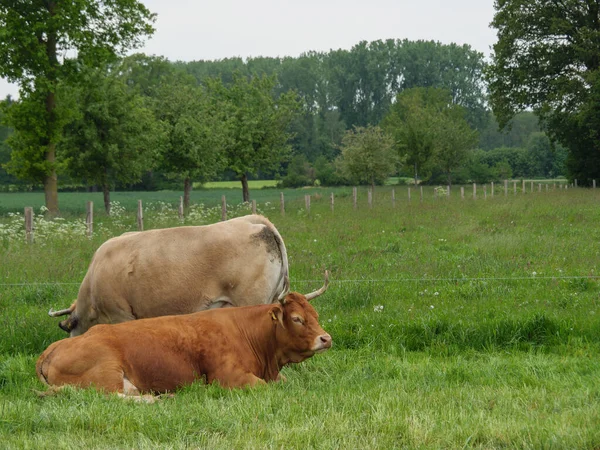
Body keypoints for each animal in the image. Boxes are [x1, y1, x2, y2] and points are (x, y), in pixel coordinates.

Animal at [37, 272, 332, 400]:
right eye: (297, 318)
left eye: (316, 315)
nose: (326, 339)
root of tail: (51, 350)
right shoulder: (229, 377)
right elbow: (266, 387)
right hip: (106, 375)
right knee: (109, 397)